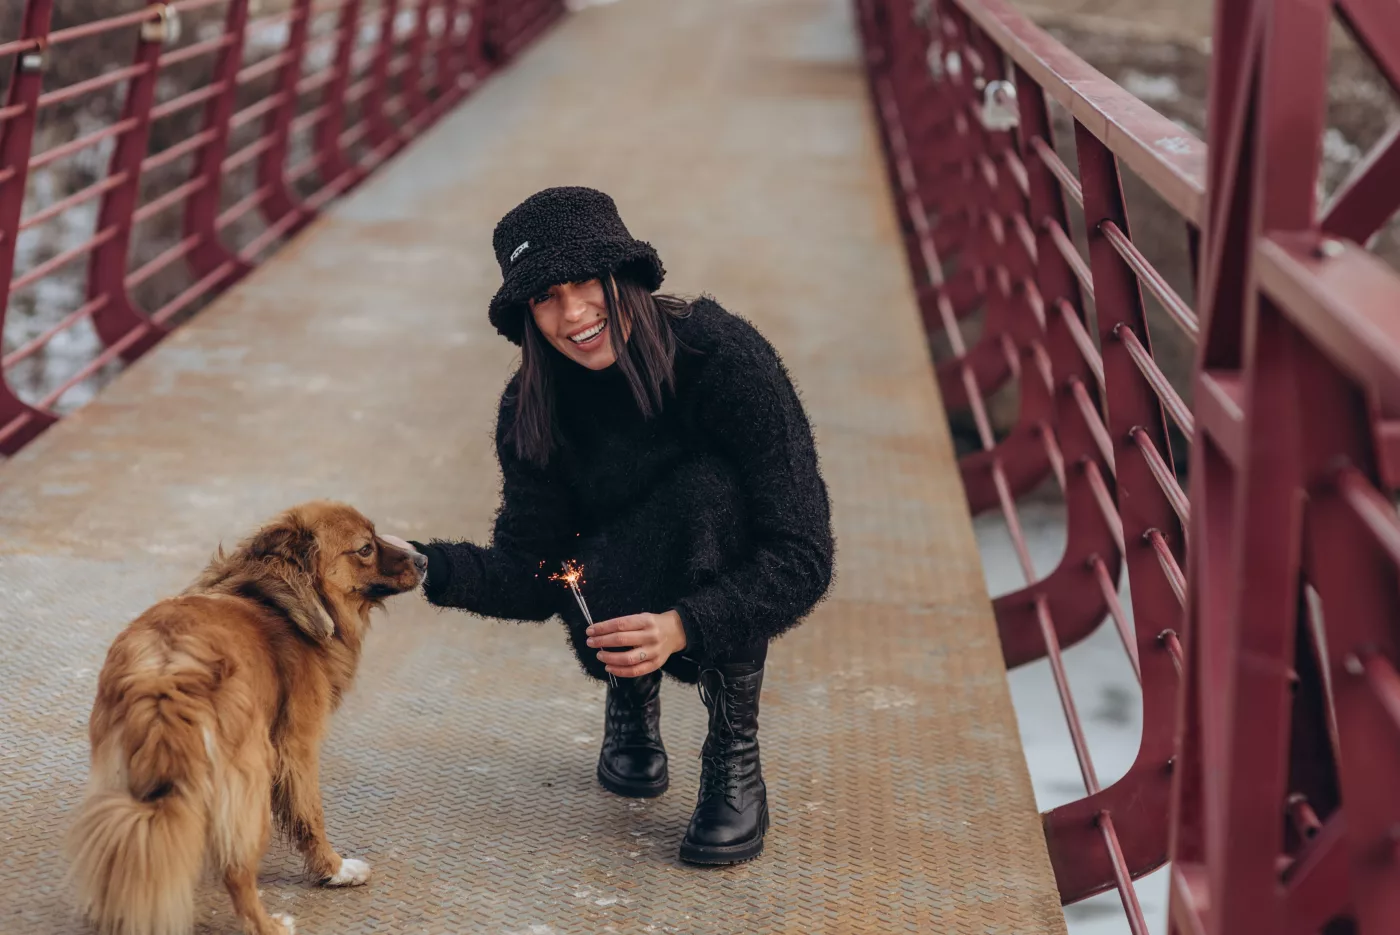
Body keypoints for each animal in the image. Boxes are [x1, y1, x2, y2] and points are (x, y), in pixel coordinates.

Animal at [66, 501, 425, 929]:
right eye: (365, 548)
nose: (424, 559)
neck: (278, 601)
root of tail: (165, 676)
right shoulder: (297, 749)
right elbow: (311, 817)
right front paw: (334, 870)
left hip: (120, 781)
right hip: (250, 775)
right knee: (237, 870)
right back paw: (269, 925)